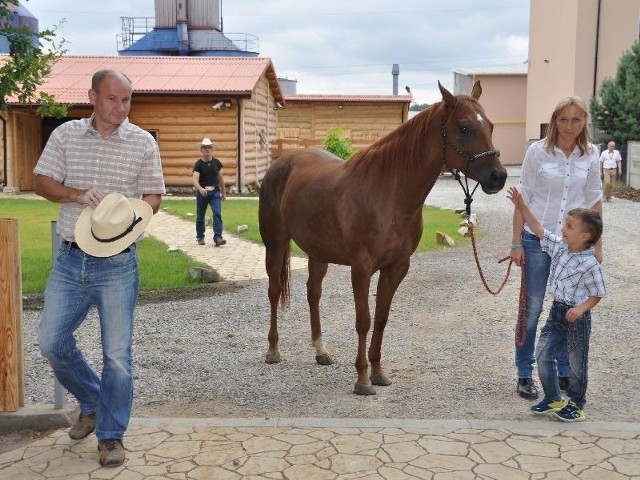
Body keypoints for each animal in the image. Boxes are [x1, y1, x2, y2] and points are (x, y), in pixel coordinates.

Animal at [258, 81, 504, 394]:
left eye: (491, 126)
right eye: (463, 127)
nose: (498, 177)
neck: (389, 194)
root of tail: (281, 163)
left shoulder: (396, 267)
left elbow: (382, 319)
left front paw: (378, 372)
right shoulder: (362, 267)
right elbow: (363, 320)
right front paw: (362, 380)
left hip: (318, 253)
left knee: (313, 293)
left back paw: (321, 351)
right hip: (275, 243)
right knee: (274, 291)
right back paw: (273, 351)